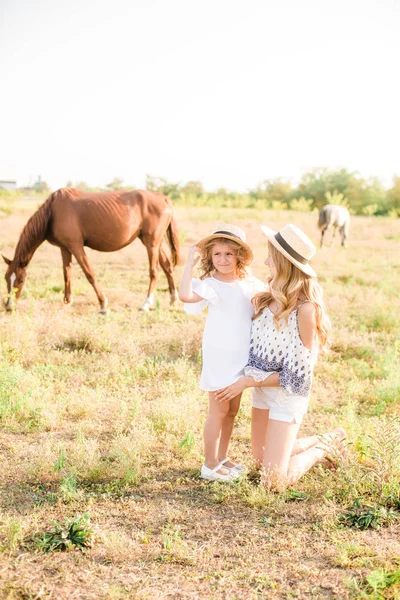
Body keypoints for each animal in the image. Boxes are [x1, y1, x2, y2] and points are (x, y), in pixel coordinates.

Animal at [2, 188, 180, 312]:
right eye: (6, 278)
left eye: (20, 280)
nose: (8, 306)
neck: (52, 212)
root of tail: (164, 199)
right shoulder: (65, 249)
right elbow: (67, 275)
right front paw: (66, 303)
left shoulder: (76, 247)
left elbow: (89, 274)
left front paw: (103, 305)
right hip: (152, 242)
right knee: (167, 266)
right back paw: (173, 300)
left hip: (152, 243)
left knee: (154, 271)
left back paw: (146, 304)